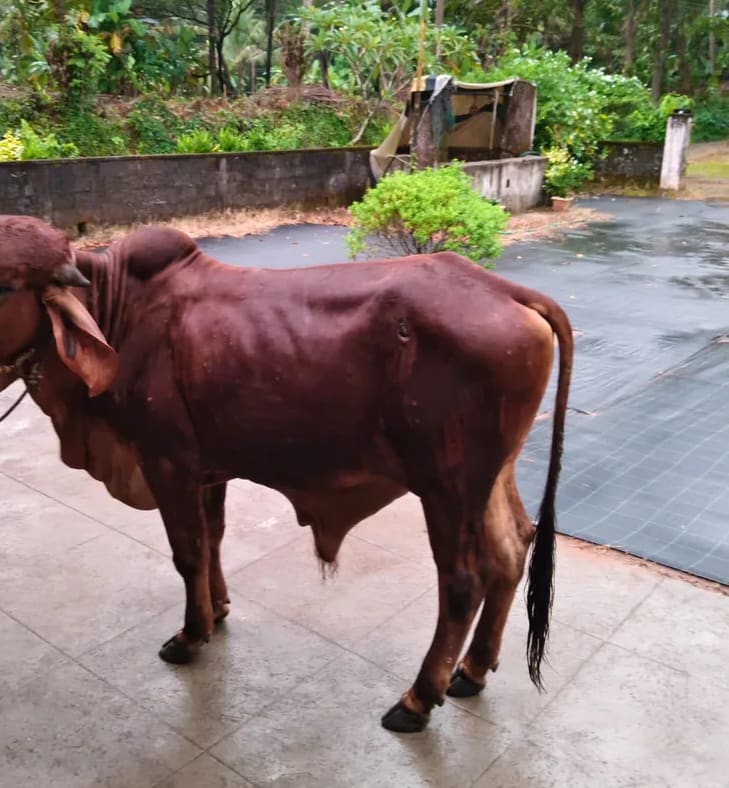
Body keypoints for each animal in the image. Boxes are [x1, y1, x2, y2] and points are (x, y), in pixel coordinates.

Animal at [0, 215, 572, 733]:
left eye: (5, 285)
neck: (122, 310)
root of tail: (511, 292)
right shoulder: (208, 469)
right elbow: (212, 539)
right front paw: (217, 610)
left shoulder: (167, 463)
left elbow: (187, 554)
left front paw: (190, 634)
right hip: (492, 474)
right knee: (511, 550)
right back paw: (472, 670)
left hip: (446, 487)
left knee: (462, 581)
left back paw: (417, 699)